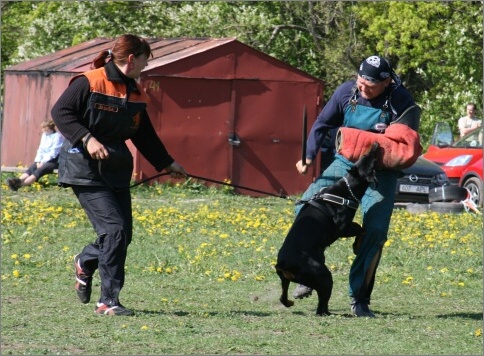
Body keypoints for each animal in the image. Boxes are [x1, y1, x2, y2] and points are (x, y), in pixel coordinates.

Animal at [274, 142, 380, 314]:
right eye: (370, 159)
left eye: (364, 156)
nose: (376, 144)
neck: (347, 189)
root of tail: (283, 264)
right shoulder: (342, 228)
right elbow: (361, 228)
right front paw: (357, 245)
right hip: (323, 276)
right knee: (321, 306)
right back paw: (326, 312)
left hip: (285, 279)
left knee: (283, 296)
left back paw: (289, 302)